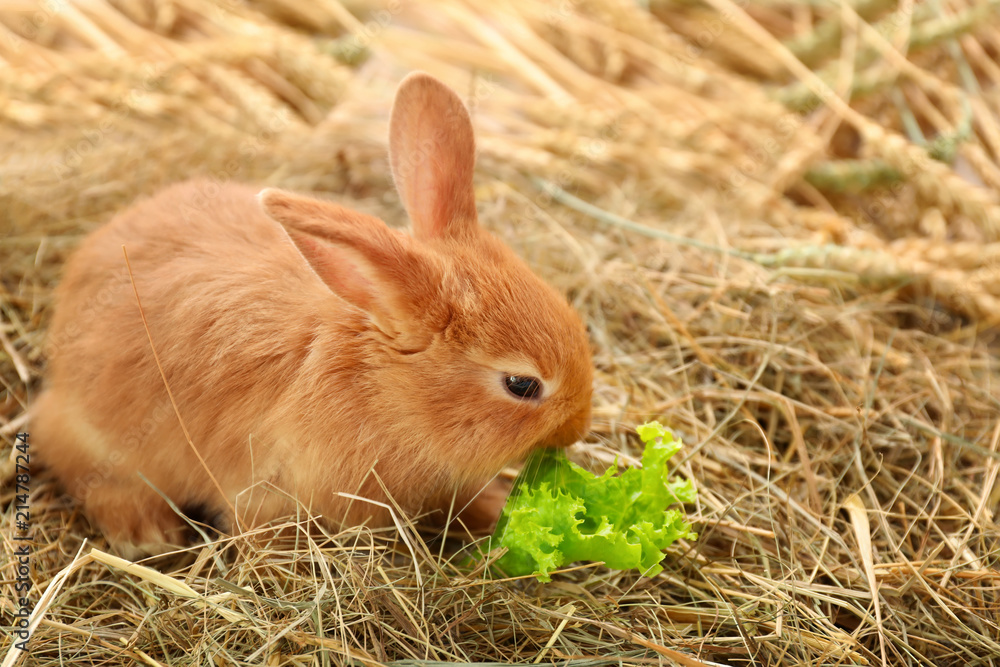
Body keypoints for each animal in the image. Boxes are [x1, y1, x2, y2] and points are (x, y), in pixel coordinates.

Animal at [31, 72, 592, 560]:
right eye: (521, 385)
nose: (579, 427)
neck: (388, 391)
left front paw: (496, 512)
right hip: (98, 439)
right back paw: (145, 535)